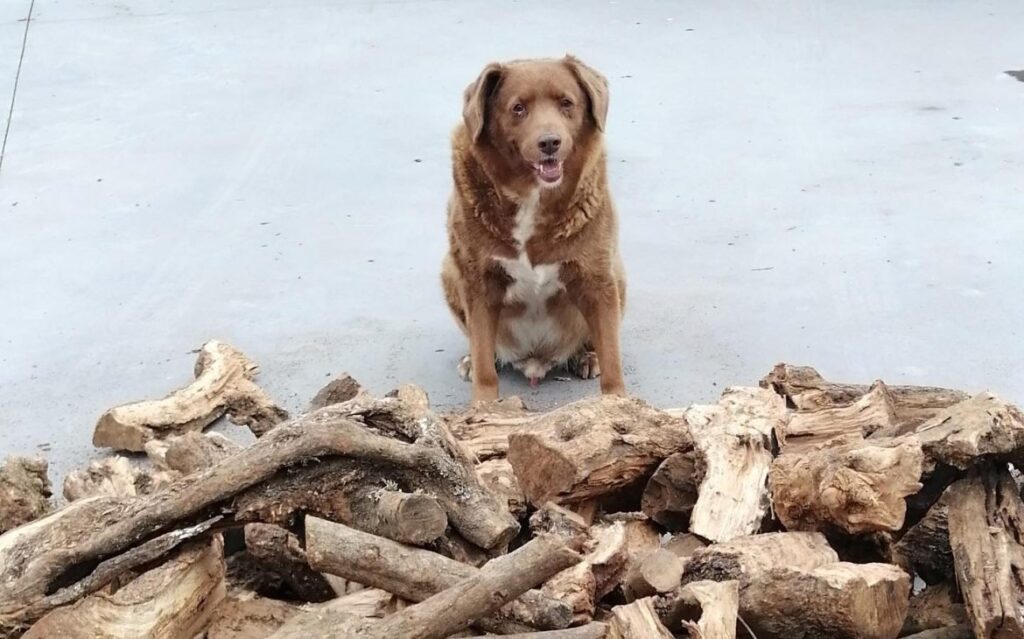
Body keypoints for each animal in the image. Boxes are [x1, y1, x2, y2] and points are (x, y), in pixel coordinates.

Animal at [440, 56, 622, 403]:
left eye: (566, 103)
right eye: (518, 108)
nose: (550, 142)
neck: (532, 197)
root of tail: (535, 360)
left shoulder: (597, 278)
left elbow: (612, 359)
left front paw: (619, 403)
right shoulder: (478, 282)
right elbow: (484, 362)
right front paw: (484, 405)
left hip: (618, 275)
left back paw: (586, 357)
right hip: (449, 272)